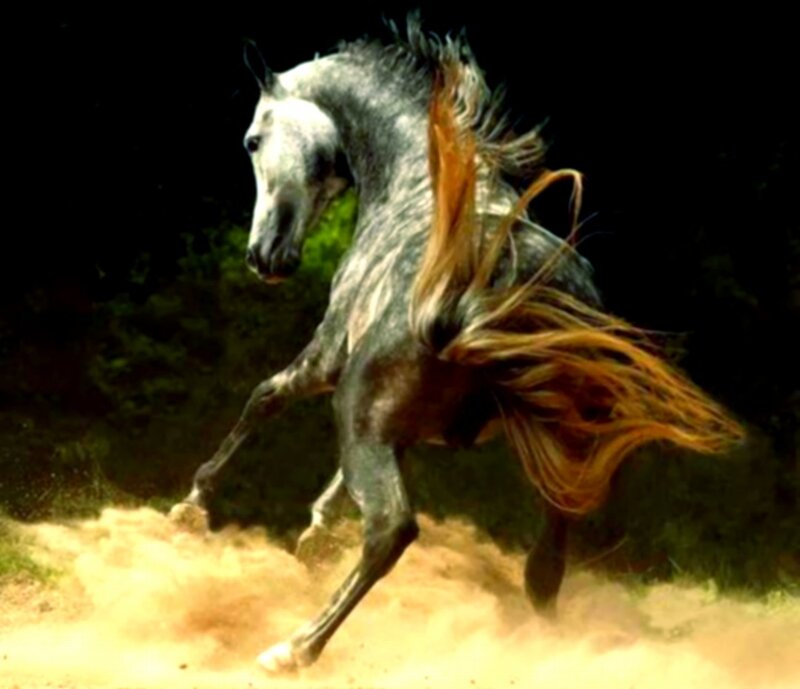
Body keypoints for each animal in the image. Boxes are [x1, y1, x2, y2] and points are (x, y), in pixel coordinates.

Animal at [169, 21, 744, 673]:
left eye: (252, 140)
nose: (264, 257)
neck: (416, 182)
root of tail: (490, 289)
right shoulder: (398, 424)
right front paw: (317, 531)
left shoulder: (330, 357)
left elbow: (264, 398)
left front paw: (193, 506)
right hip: (559, 455)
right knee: (543, 570)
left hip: (360, 413)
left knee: (391, 530)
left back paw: (294, 647)